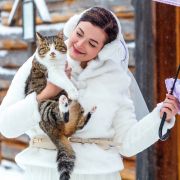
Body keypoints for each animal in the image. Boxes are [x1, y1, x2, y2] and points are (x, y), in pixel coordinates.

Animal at [24, 31, 94, 180]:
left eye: (56, 46)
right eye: (46, 47)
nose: (52, 53)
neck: (56, 63)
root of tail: (53, 132)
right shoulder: (52, 74)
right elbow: (64, 81)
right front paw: (73, 91)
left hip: (77, 112)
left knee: (75, 126)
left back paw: (88, 111)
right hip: (44, 106)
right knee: (59, 115)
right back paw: (63, 102)